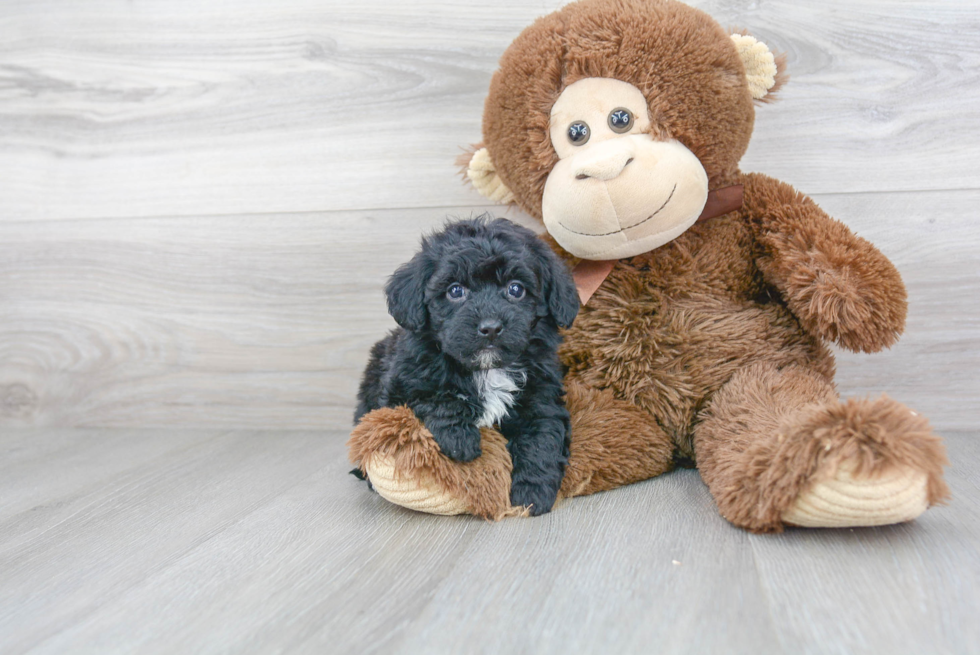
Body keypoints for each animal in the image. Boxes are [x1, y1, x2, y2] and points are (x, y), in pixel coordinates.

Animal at [354, 218, 580, 516]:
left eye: (516, 289)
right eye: (455, 291)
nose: (491, 327)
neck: (487, 370)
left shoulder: (541, 396)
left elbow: (542, 438)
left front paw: (533, 493)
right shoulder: (402, 382)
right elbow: (432, 397)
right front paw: (460, 439)